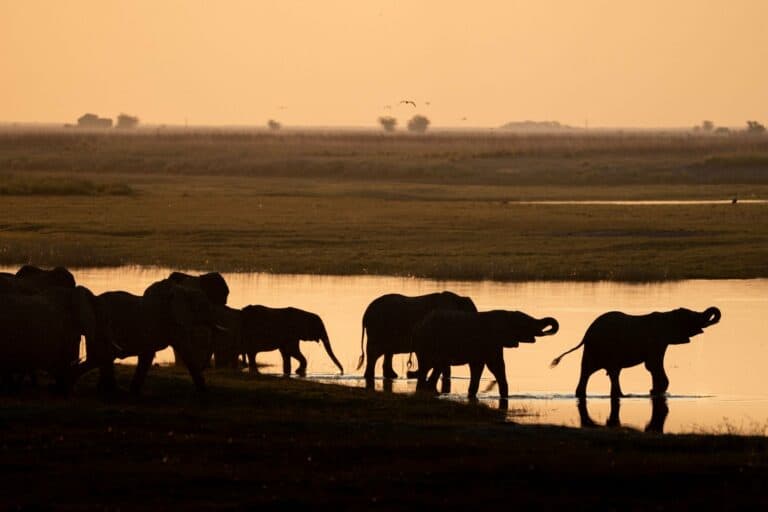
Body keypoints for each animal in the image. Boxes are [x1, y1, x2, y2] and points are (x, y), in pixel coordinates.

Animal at [412, 309, 559, 398]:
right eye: (525, 323)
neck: (507, 315)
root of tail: (420, 324)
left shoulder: (494, 344)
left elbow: (494, 367)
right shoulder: (489, 340)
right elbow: (491, 366)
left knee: (434, 367)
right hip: (427, 343)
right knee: (428, 366)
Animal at [550, 306, 721, 398]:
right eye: (692, 317)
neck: (667, 315)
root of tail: (586, 335)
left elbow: (653, 366)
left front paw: (654, 392)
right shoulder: (656, 341)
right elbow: (653, 365)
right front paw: (656, 392)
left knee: (604, 372)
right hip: (601, 347)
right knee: (599, 371)